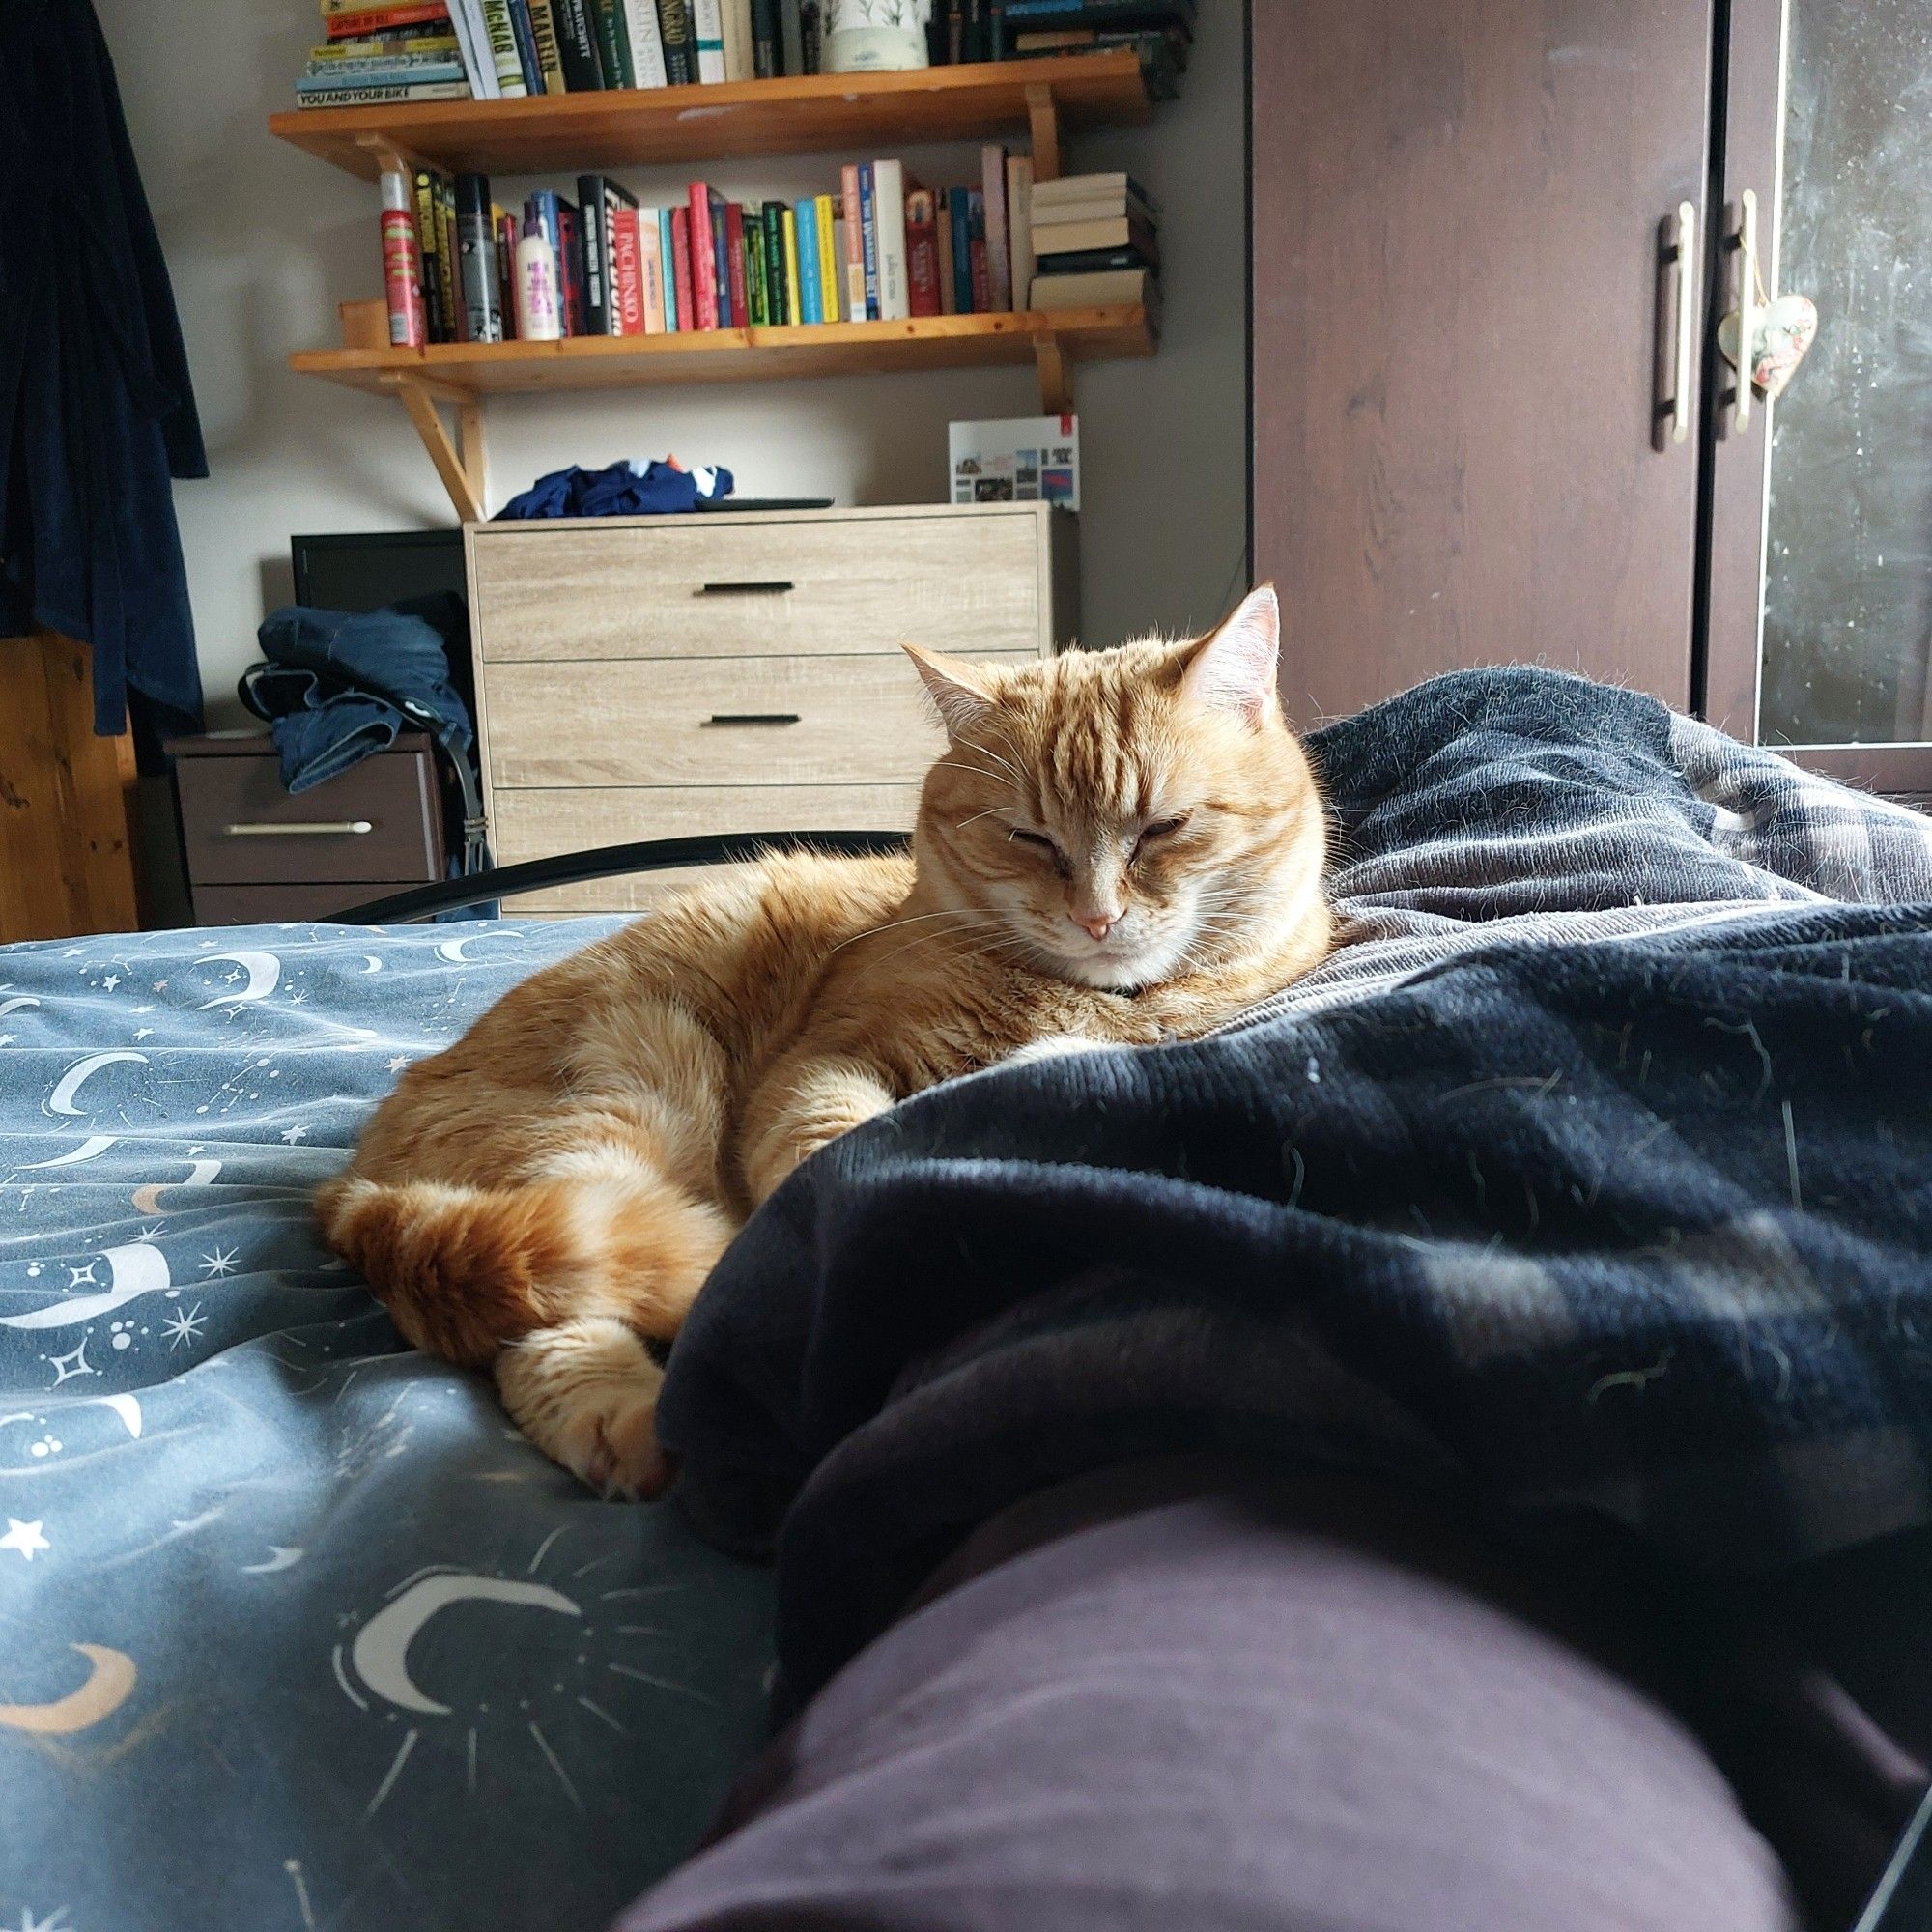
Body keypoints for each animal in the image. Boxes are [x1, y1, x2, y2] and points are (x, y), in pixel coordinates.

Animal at [325, 583, 1337, 1492]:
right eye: (1028, 838)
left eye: (1164, 828)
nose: (1096, 918)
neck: (1076, 994)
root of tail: (352, 1180)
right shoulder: (821, 1062)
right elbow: (825, 1140)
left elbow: (1084, 1057)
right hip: (636, 1085)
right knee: (549, 1313)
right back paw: (635, 1411)